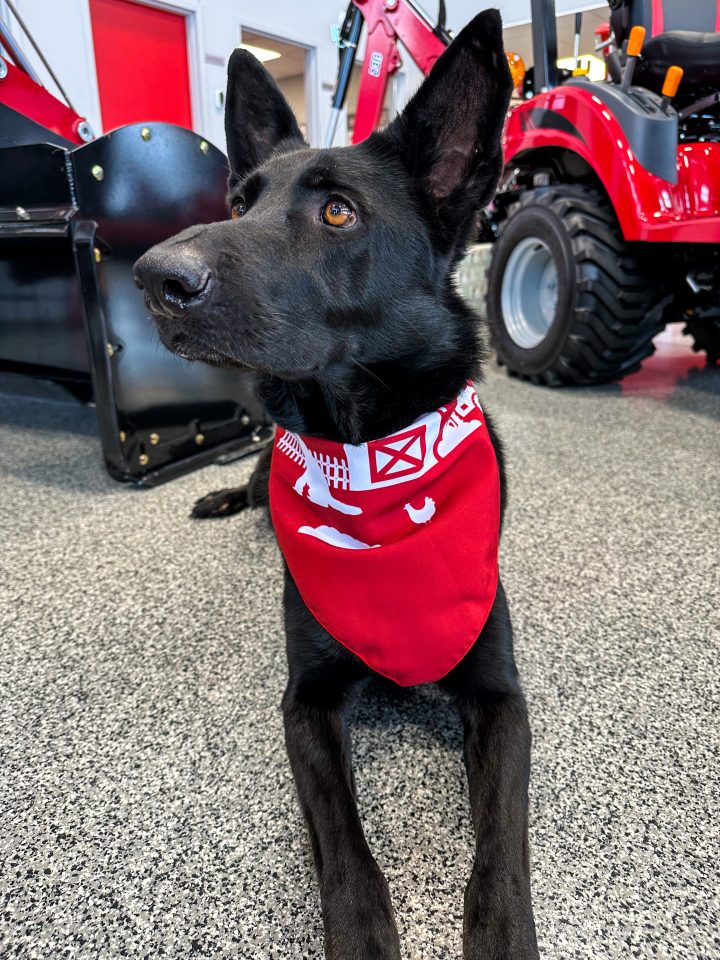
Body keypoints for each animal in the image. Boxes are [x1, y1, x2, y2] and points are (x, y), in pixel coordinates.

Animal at [135, 11, 536, 956]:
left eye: (337, 211)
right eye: (238, 203)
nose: (154, 279)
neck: (364, 449)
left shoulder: (502, 696)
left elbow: (503, 835)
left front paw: (502, 933)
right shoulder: (305, 701)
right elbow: (344, 838)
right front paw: (362, 933)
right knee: (250, 481)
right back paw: (221, 497)